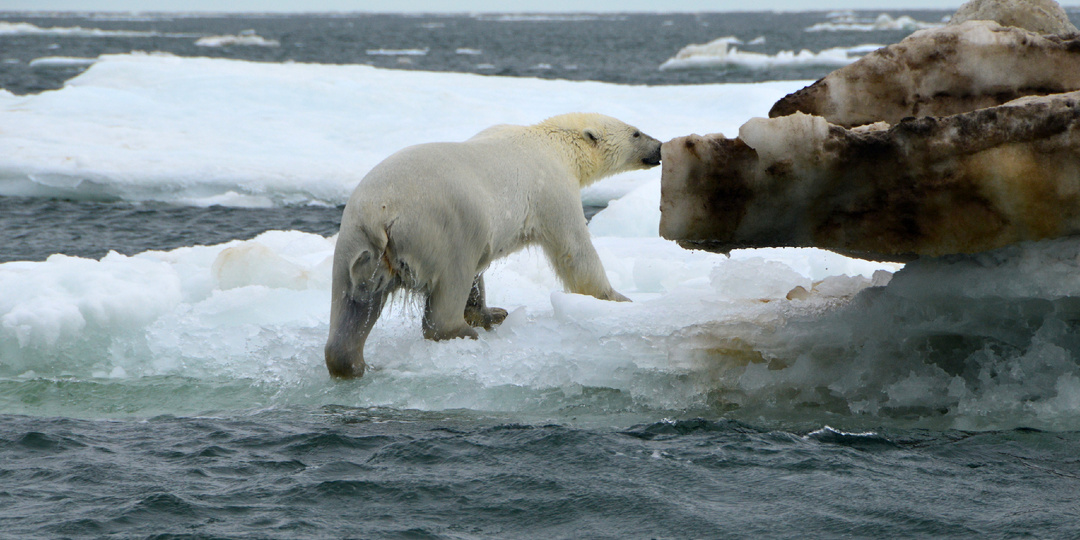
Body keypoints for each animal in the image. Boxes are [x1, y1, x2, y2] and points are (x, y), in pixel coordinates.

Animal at [321, 111, 656, 378]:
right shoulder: (552, 188)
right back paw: (461, 332)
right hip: (442, 226)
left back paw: (352, 363)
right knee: (453, 276)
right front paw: (617, 298)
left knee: (353, 303)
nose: (659, 148)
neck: (553, 142)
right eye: (636, 132)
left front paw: (489, 311)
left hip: (356, 246)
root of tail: (381, 215)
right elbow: (574, 249)